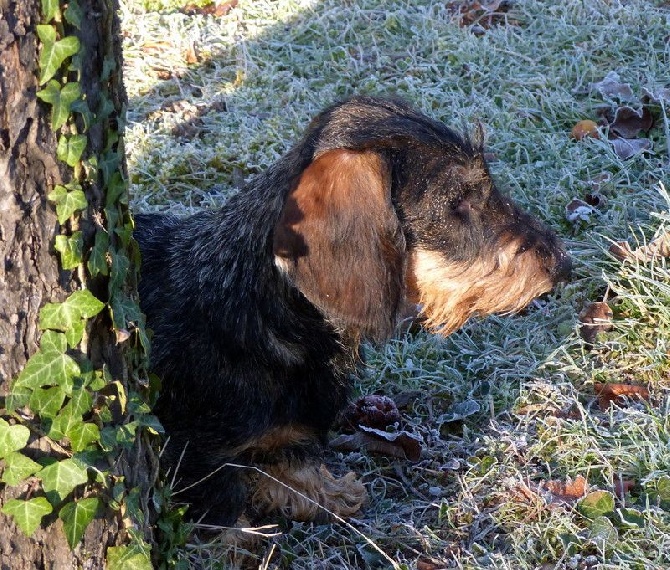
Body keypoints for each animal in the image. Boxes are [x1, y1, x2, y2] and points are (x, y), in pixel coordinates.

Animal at [135, 94, 572, 524]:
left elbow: (296, 465)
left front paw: (328, 494)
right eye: (459, 200)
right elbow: (224, 518)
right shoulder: (197, 457)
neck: (252, 312)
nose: (563, 264)